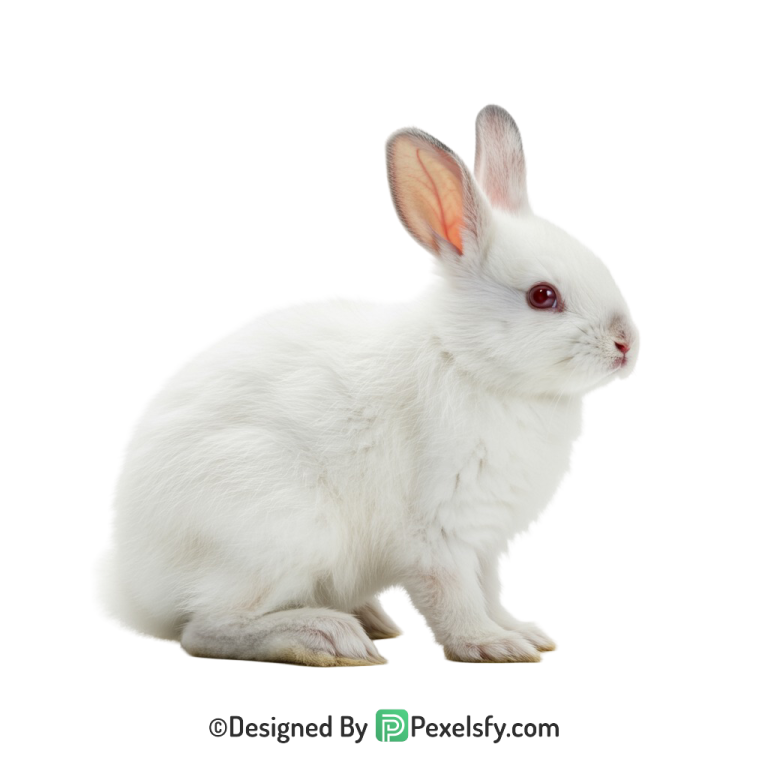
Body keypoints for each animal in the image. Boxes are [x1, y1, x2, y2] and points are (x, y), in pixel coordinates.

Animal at [90, 102, 640, 666]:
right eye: (542, 296)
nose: (626, 344)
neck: (467, 360)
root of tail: (130, 590)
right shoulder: (439, 534)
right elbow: (454, 599)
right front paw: (492, 645)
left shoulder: (487, 543)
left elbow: (491, 594)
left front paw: (526, 634)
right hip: (280, 529)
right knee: (205, 629)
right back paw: (327, 637)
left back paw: (372, 618)